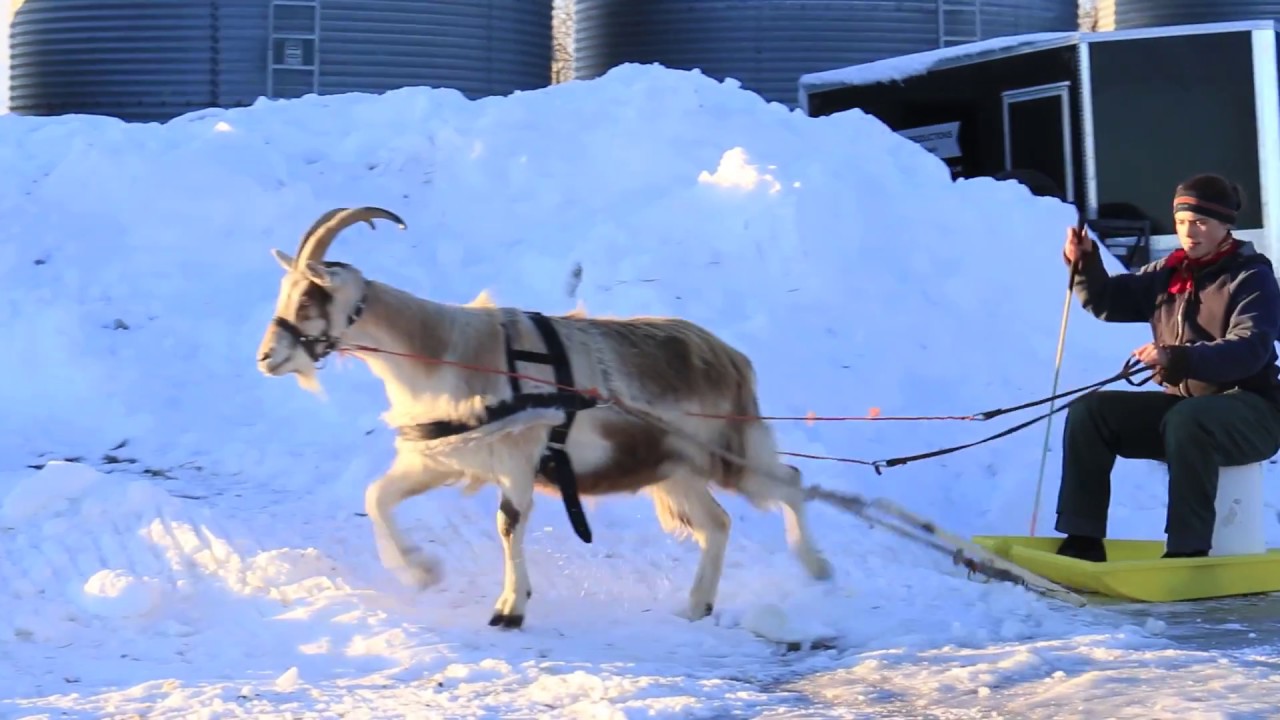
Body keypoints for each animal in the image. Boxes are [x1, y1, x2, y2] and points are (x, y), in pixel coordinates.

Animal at [256, 207, 834, 629]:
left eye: (307, 297)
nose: (266, 357)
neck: (446, 350)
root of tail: (731, 358)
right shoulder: (440, 459)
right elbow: (377, 496)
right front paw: (422, 571)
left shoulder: (519, 457)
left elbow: (508, 524)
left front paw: (509, 609)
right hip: (675, 469)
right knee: (718, 522)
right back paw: (698, 605)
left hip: (727, 449)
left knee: (789, 480)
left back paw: (817, 567)